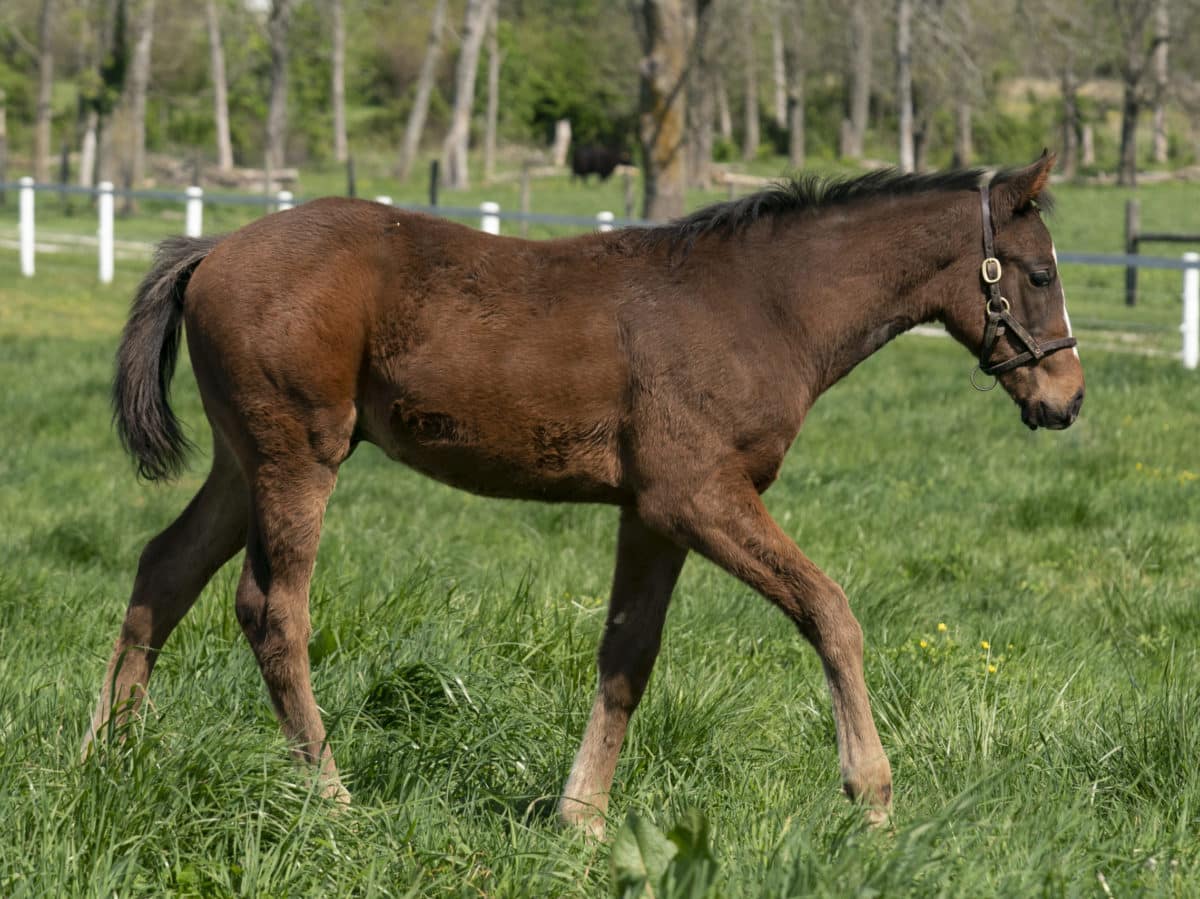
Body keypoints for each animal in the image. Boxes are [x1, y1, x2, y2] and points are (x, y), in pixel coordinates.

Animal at [88, 152, 1089, 835]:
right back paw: (331, 795)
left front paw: (583, 816)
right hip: (298, 456)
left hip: (240, 463)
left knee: (164, 569)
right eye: (1039, 274)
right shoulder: (699, 496)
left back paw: (110, 753)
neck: (763, 306)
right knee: (271, 609)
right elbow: (830, 610)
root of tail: (214, 247)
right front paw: (871, 795)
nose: (1067, 399)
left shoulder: (652, 515)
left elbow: (626, 657)